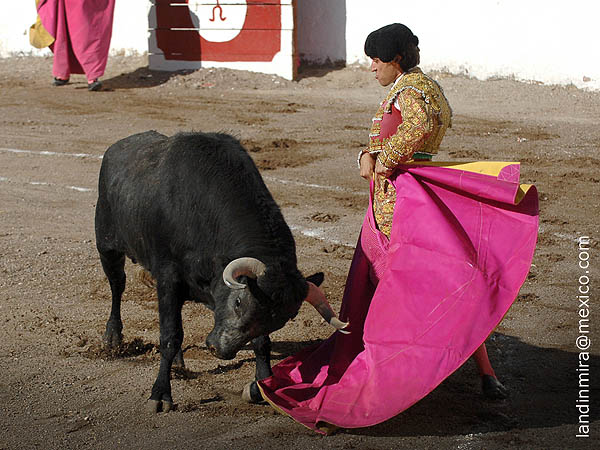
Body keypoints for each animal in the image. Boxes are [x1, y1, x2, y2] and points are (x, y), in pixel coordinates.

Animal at [95, 131, 344, 412]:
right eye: (237, 302)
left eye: (284, 319)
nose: (218, 349)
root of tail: (116, 147)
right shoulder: (169, 278)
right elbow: (169, 336)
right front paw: (160, 395)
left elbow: (261, 341)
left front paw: (261, 385)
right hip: (107, 245)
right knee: (117, 286)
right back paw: (112, 337)